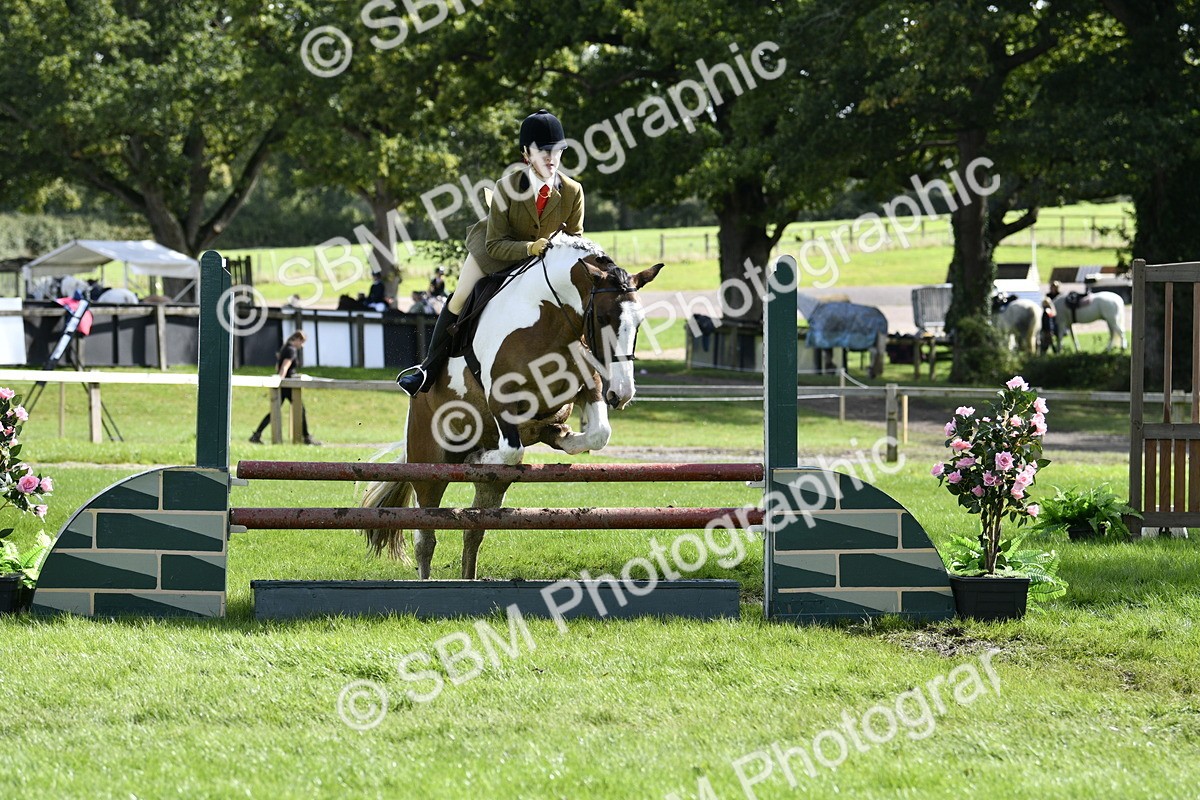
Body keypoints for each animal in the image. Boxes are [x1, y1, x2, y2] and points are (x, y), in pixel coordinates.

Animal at [362, 235, 663, 579]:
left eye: (639, 322)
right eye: (601, 319)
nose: (622, 394)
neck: (548, 316)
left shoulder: (590, 385)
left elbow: (599, 432)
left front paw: (565, 436)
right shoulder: (501, 396)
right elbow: (511, 452)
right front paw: (479, 458)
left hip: (492, 486)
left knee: (474, 529)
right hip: (428, 466)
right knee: (425, 536)